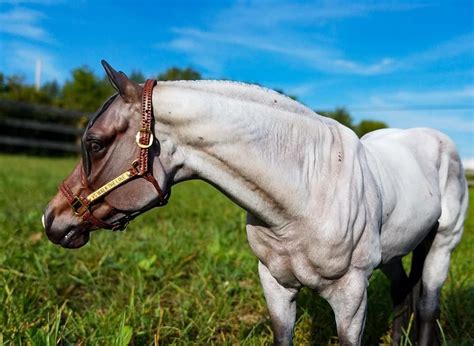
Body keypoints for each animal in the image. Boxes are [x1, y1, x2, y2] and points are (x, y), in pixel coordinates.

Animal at [42, 60, 468, 344]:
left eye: (95, 143)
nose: (52, 220)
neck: (305, 197)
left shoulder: (351, 297)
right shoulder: (276, 285)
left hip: (442, 247)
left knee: (426, 308)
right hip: (396, 252)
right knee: (401, 295)